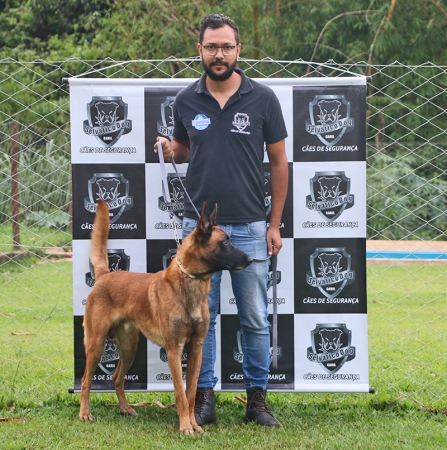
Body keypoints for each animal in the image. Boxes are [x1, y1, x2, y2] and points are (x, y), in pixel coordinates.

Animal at [79, 199, 252, 434]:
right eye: (225, 242)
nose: (251, 259)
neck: (191, 282)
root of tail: (105, 275)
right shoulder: (174, 351)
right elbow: (180, 393)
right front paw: (185, 427)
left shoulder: (196, 350)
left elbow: (191, 393)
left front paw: (194, 424)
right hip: (96, 344)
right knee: (85, 380)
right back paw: (85, 413)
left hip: (130, 348)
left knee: (117, 378)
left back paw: (126, 409)